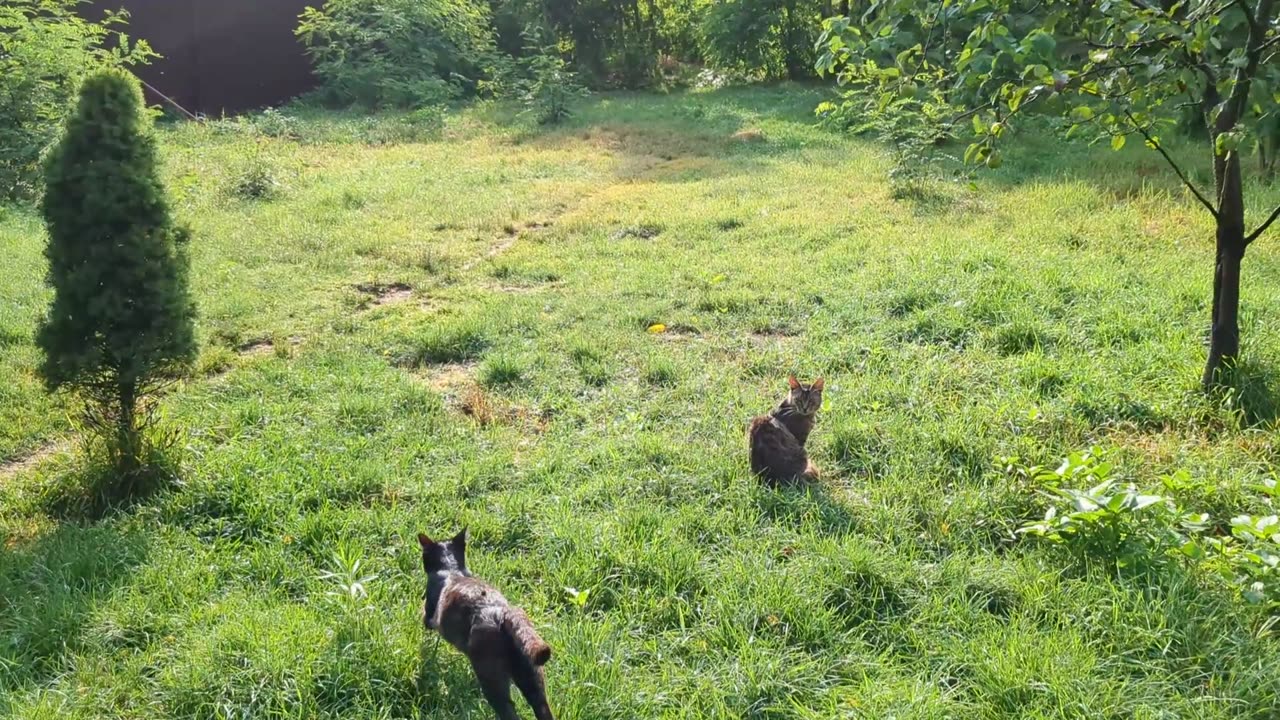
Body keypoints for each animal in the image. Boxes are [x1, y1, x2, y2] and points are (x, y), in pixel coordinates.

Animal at [417, 527, 552, 717]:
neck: (451, 569)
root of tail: (503, 613)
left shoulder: (429, 613)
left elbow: (423, 616)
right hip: (532, 679)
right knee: (542, 707)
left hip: (491, 677)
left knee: (508, 711)